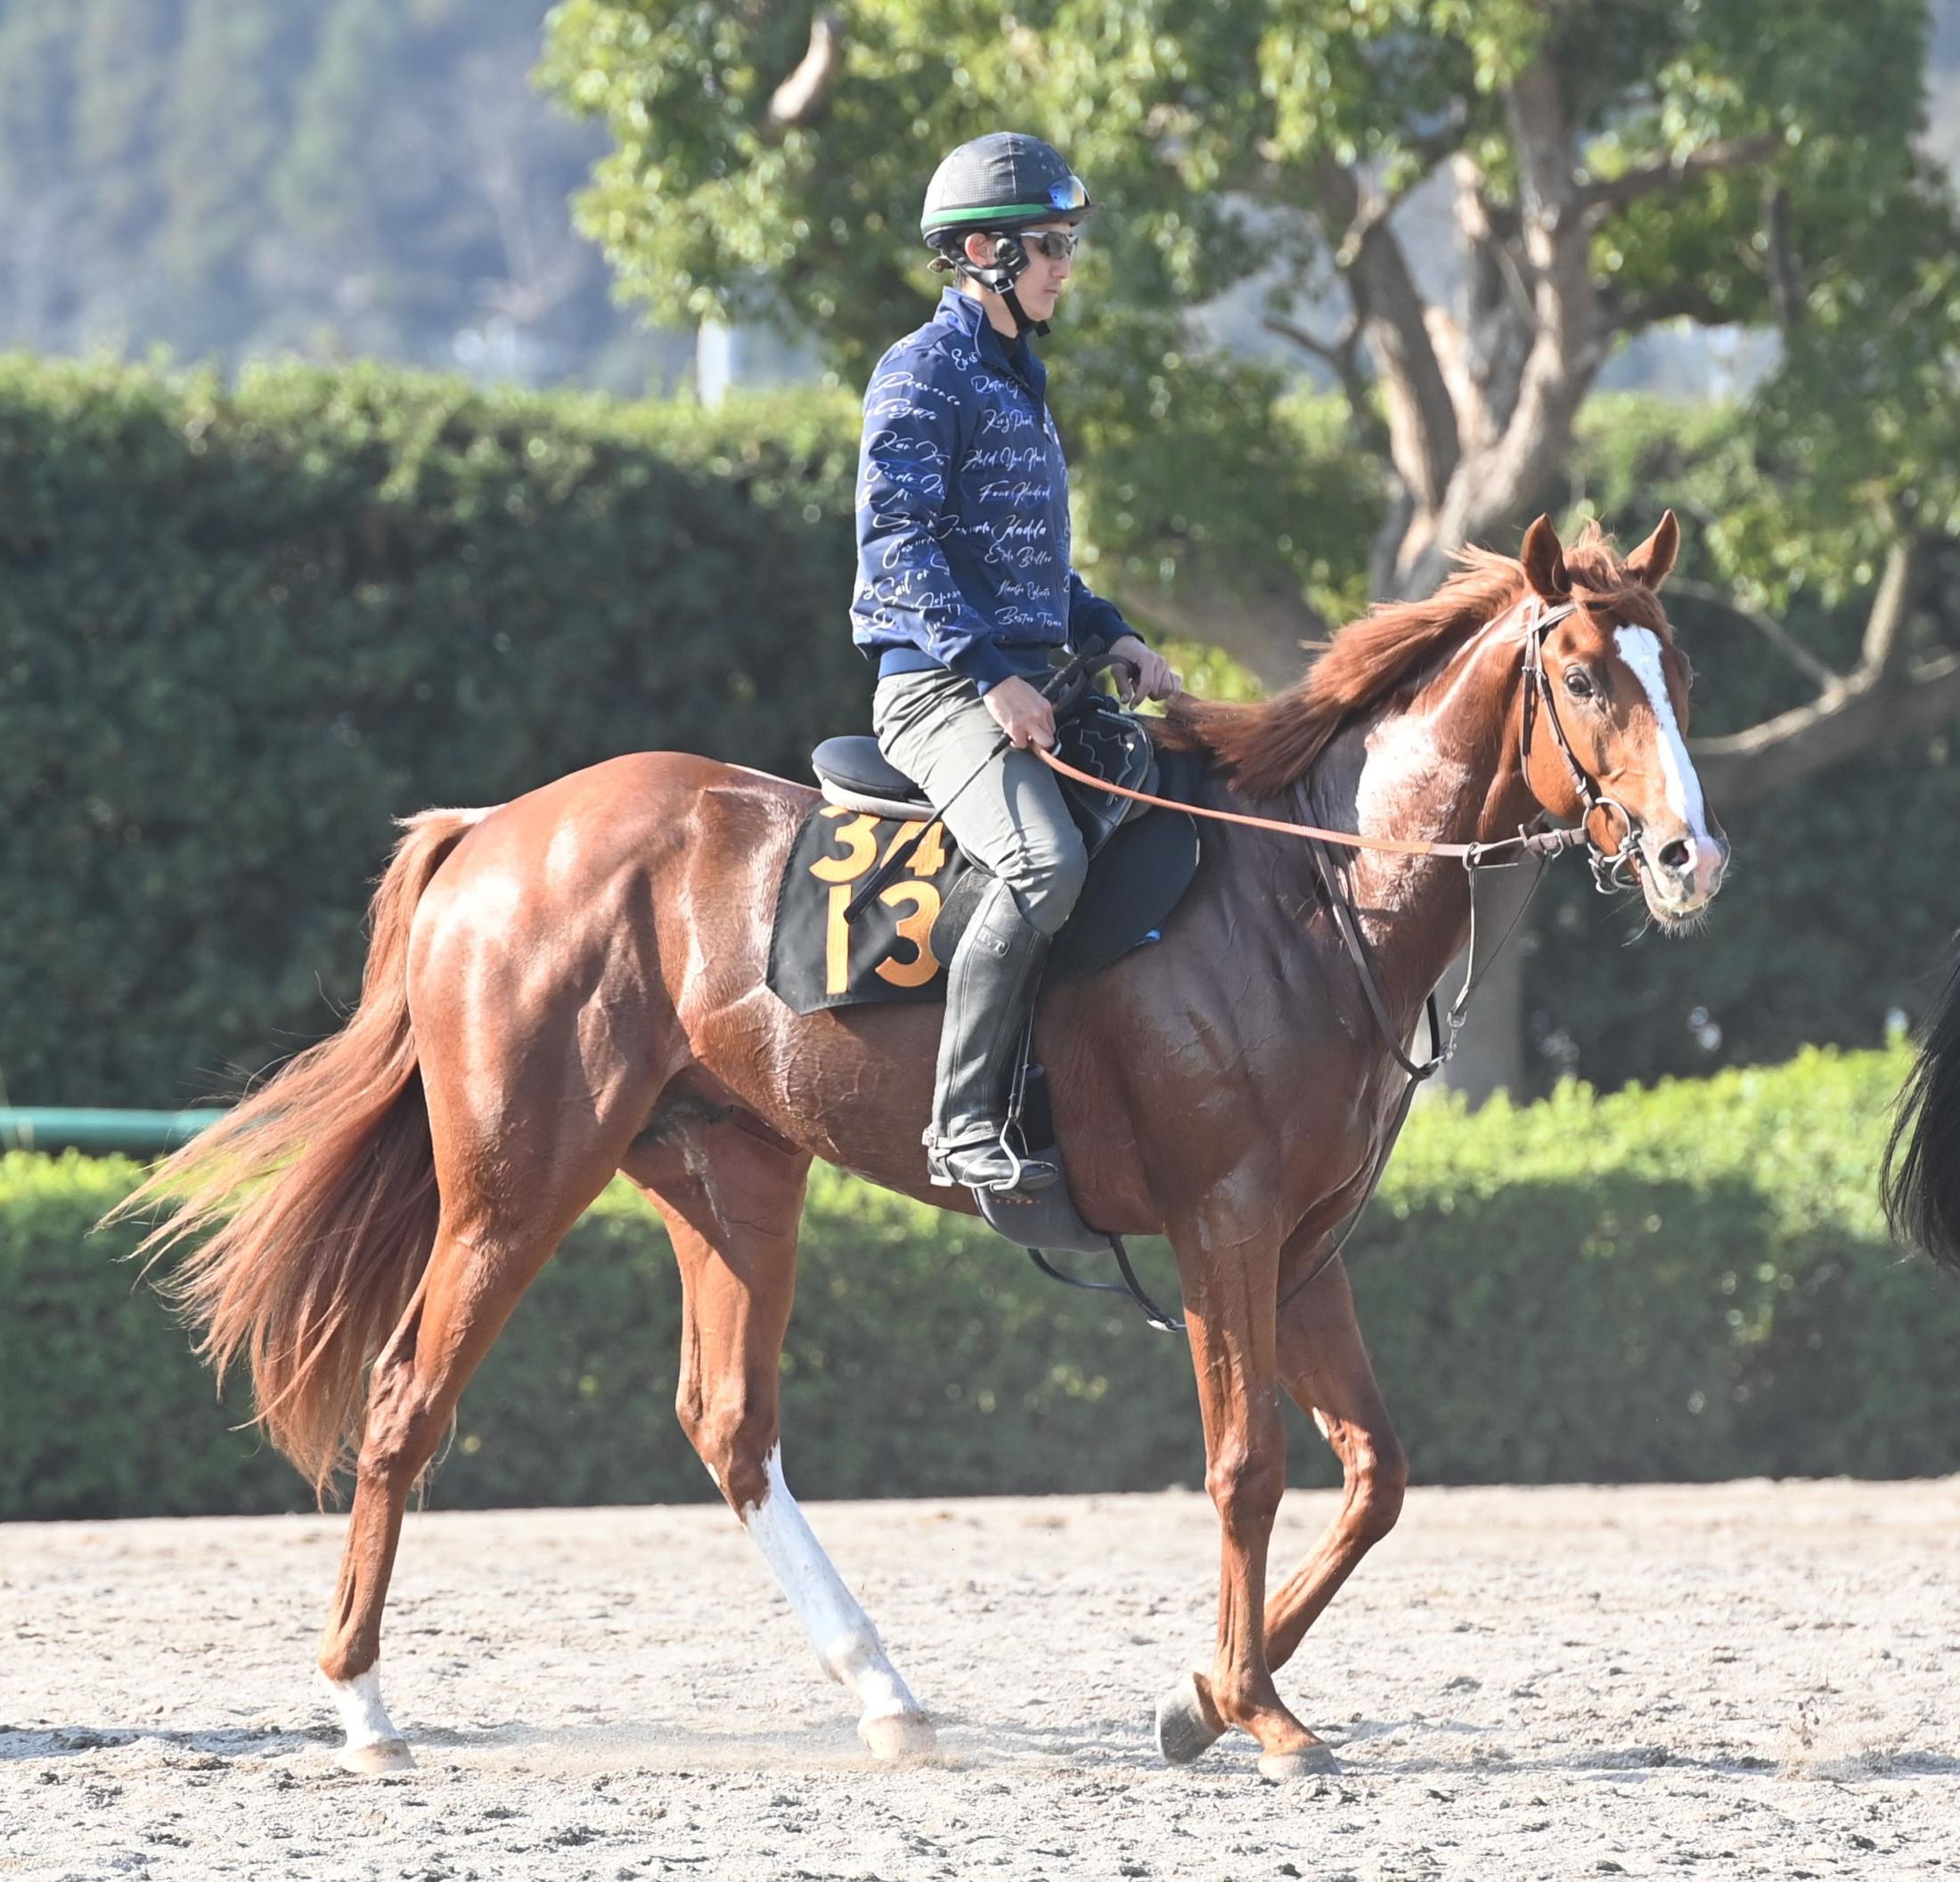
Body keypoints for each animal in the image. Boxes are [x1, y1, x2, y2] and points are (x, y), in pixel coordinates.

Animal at [122, 509, 1725, 1780]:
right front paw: (1252, 1708)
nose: (1687, 856)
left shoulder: (1307, 1246)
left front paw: (1204, 1696)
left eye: (1683, 675)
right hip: (517, 1188)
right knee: (407, 1403)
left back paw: (886, 1694)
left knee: (730, 1423)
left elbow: (1376, 1473)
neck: (1308, 893)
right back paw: (365, 1706)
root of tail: (495, 828)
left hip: (733, 1177)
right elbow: (1249, 1466)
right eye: (1585, 676)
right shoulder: (1226, 1226)